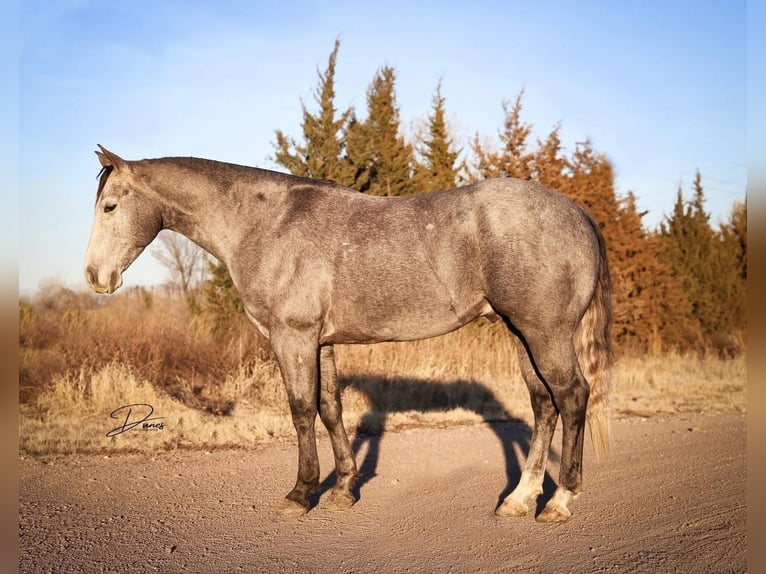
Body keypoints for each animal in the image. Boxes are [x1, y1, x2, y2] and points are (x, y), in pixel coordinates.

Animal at [85, 146, 612, 524]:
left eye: (110, 207)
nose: (95, 276)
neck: (266, 223)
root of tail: (578, 215)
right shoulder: (321, 343)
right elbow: (330, 408)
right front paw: (343, 489)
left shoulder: (293, 338)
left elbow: (301, 410)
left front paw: (301, 494)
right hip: (522, 334)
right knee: (544, 405)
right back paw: (519, 500)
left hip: (546, 334)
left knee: (571, 397)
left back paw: (559, 501)